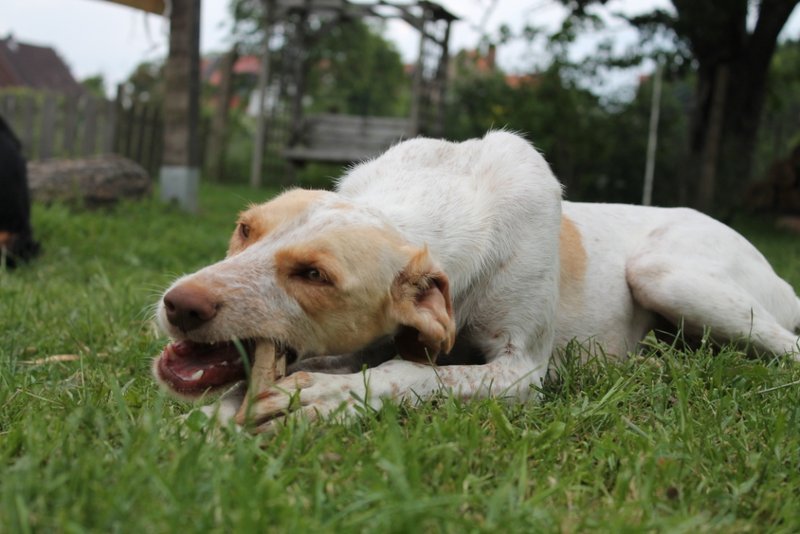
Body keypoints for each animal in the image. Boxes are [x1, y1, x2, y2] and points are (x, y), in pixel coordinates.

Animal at [152, 133, 800, 432]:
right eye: (244, 229)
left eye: (315, 275)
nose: (178, 305)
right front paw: (210, 421)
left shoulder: (522, 372)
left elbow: (412, 374)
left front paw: (329, 399)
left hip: (665, 274)